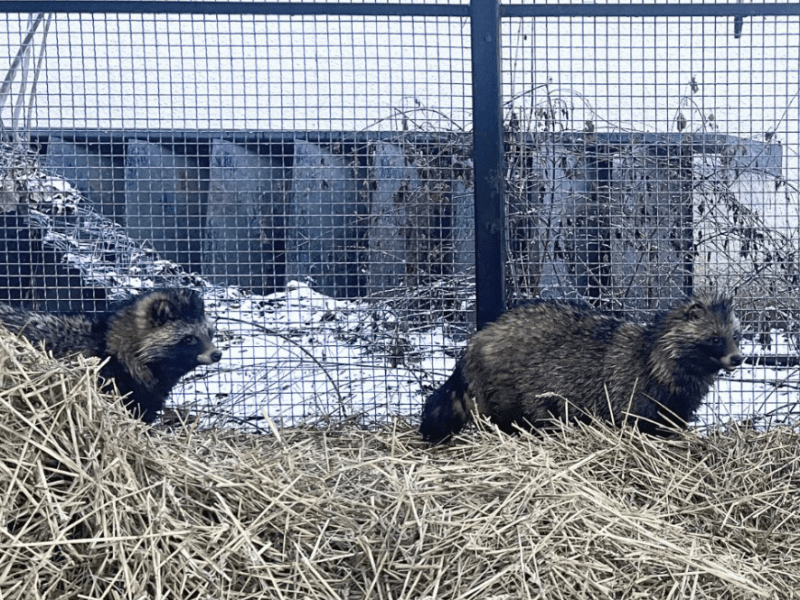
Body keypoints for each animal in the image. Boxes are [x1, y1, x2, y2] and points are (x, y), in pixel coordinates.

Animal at [418, 292, 744, 442]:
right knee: (510, 419)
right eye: (715, 339)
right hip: (507, 390)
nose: (738, 359)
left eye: (736, 336)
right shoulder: (633, 394)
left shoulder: (675, 405)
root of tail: (476, 341)